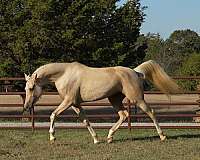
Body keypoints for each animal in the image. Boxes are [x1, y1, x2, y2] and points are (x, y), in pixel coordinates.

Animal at [23, 60, 180, 144]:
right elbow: (85, 121)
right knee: (124, 115)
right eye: (25, 88)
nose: (26, 106)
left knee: (151, 112)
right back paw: (109, 137)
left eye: (31, 88)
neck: (64, 74)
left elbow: (53, 115)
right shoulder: (75, 104)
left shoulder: (68, 101)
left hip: (137, 99)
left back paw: (162, 136)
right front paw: (96, 139)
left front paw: (52, 137)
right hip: (114, 99)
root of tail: (135, 72)